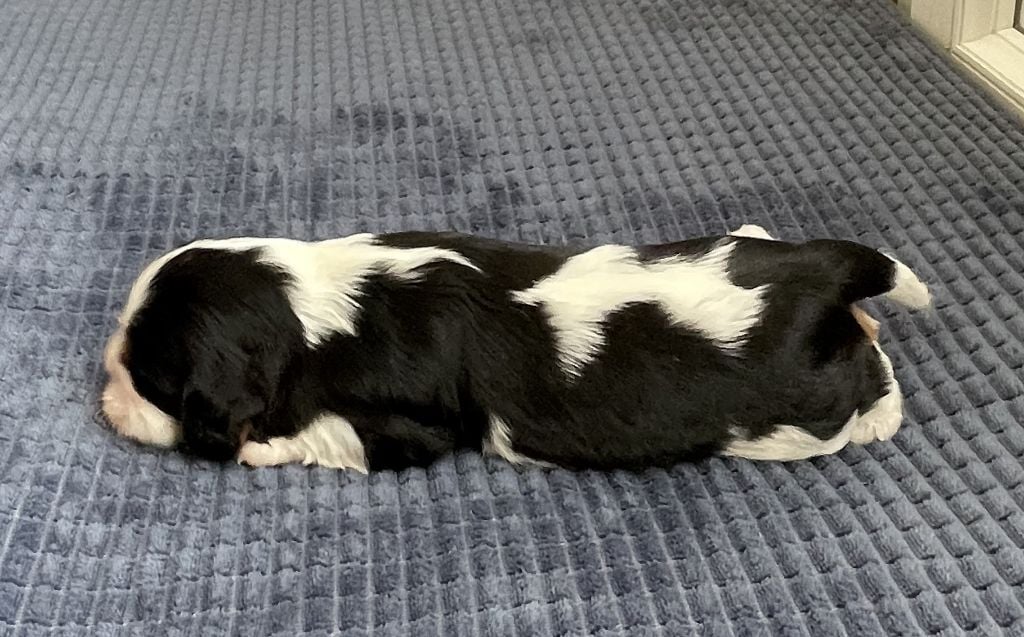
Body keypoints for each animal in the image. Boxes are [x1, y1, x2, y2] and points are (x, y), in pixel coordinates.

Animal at [100, 225, 930, 472]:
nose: (101, 389)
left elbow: (329, 434)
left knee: (867, 385)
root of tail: (819, 271)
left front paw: (259, 446)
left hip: (797, 414)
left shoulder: (411, 427)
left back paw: (880, 411)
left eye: (147, 377)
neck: (313, 303)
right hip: (755, 247)